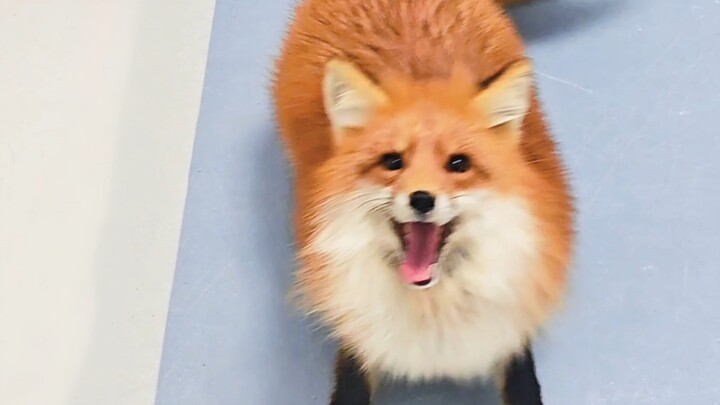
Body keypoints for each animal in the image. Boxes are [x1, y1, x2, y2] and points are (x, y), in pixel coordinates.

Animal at [272, 0, 574, 403]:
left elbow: (525, 385)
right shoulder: (359, 335)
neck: (434, 307)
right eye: (393, 161)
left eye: (458, 164)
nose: (421, 199)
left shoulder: (507, 328)